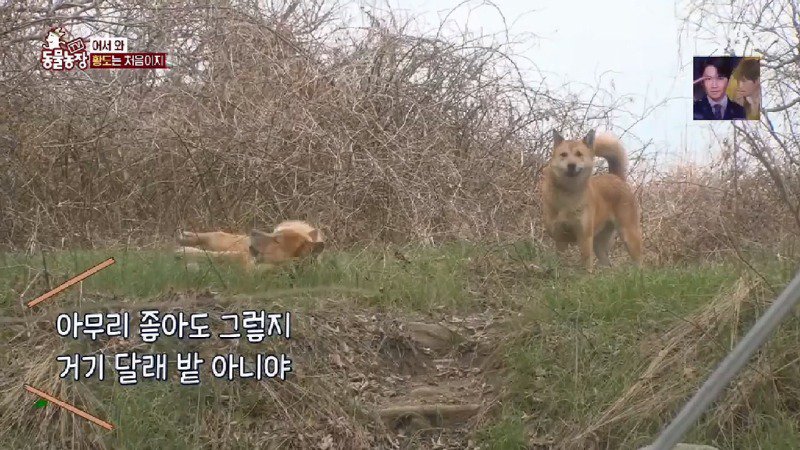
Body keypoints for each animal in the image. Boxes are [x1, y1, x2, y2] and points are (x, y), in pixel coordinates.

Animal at [536, 128, 644, 272]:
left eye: (579, 154)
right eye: (563, 154)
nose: (571, 165)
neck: (568, 195)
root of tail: (616, 177)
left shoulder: (584, 237)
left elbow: (586, 264)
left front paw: (585, 276)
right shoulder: (560, 237)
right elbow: (560, 260)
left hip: (628, 234)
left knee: (639, 262)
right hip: (599, 245)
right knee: (607, 264)